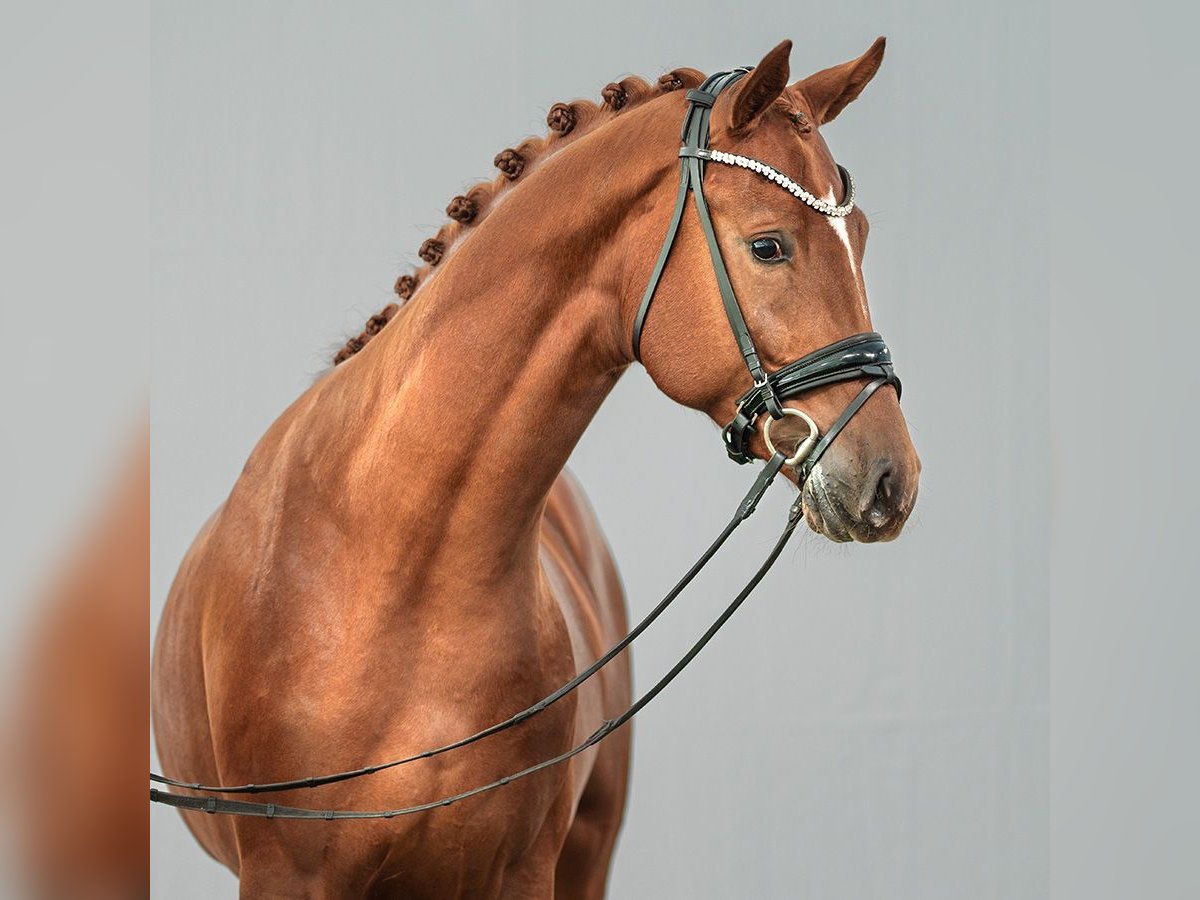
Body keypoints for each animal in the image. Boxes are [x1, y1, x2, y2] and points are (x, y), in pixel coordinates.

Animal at [150, 38, 916, 897]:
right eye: (768, 244)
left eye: (862, 237)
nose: (892, 478)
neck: (386, 565)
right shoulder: (285, 873)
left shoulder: (523, 870)